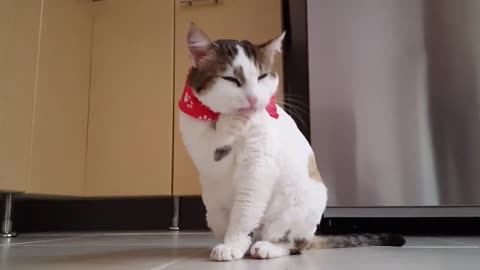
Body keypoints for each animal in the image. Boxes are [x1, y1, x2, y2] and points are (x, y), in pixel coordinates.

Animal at [178, 23, 404, 262]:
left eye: (262, 77)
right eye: (231, 79)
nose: (253, 99)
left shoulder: (258, 166)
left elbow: (245, 211)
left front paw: (232, 244)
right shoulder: (200, 146)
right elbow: (212, 141)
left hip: (298, 208)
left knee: (294, 244)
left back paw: (266, 247)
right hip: (211, 211)